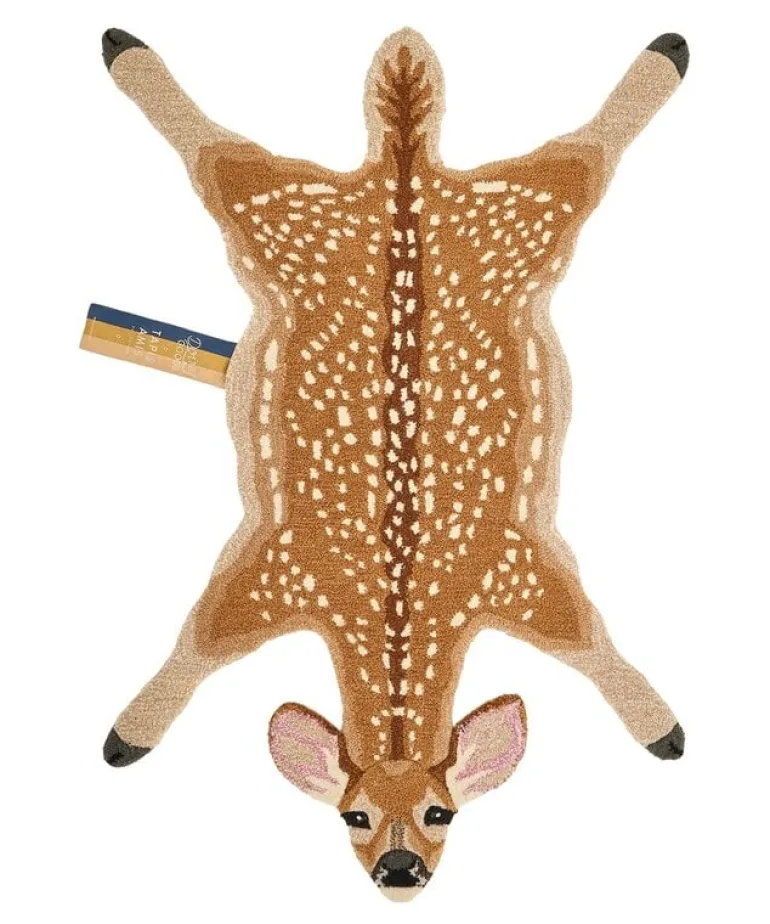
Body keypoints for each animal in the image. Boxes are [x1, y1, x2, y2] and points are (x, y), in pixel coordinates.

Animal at [99, 26, 688, 900]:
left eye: (445, 813)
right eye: (354, 815)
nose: (400, 869)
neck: (399, 613)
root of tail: (404, 166)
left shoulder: (523, 574)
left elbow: (591, 642)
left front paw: (664, 728)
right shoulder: (271, 576)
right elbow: (196, 643)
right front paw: (127, 733)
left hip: (517, 211)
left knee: (581, 155)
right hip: (292, 209)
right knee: (219, 152)